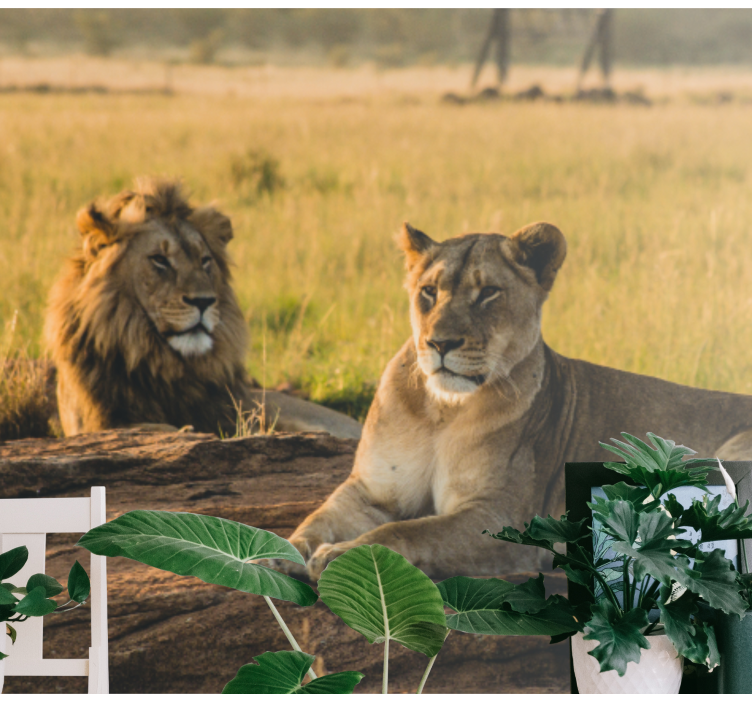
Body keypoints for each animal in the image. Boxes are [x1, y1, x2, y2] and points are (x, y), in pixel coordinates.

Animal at [283, 221, 752, 580]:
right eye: (429, 291)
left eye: (488, 292)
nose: (439, 343)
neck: (443, 412)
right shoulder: (371, 491)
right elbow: (320, 517)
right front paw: (286, 553)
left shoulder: (502, 519)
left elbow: (404, 533)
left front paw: (340, 556)